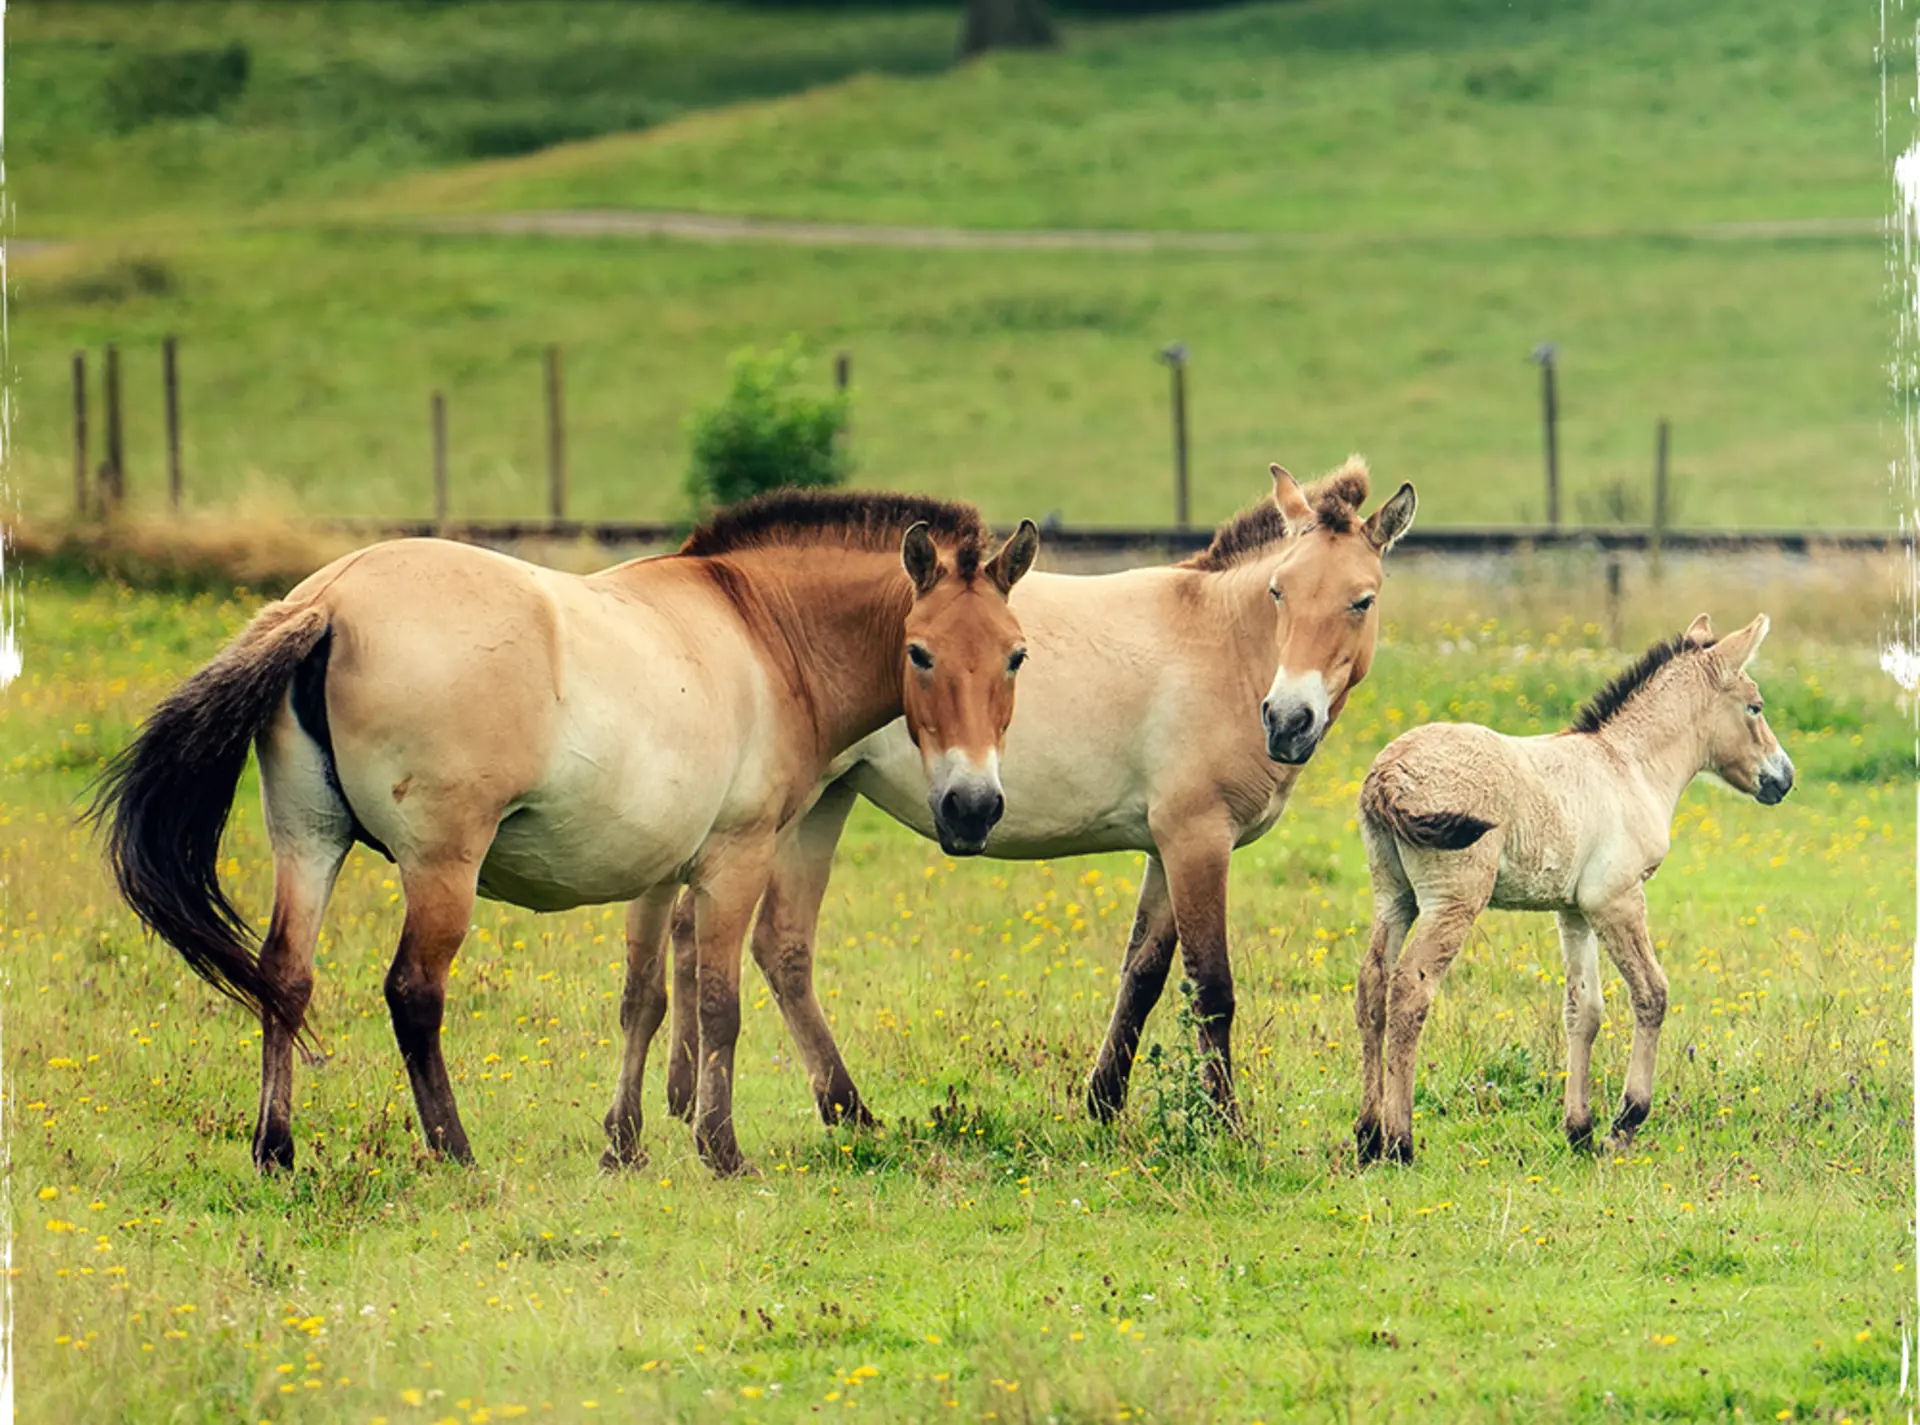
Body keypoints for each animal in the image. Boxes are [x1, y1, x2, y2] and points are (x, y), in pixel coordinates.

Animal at [90, 491, 1040, 1178]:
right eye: (919, 653)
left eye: (1015, 655)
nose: (972, 806)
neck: (758, 626)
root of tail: (330, 600)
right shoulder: (735, 859)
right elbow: (720, 1003)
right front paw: (720, 1150)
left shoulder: (659, 870)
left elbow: (646, 999)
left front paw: (626, 1143)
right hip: (441, 865)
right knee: (413, 992)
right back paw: (455, 1151)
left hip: (307, 838)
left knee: (285, 977)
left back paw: (275, 1150)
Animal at [656, 459, 1418, 1129]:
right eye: (1280, 592)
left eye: (1363, 600)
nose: (1288, 720)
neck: (1220, 643)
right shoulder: (1197, 839)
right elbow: (1211, 987)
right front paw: (1226, 1124)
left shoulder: (1165, 846)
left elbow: (1142, 973)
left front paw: (1104, 1101)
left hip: (820, 802)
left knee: (748, 939)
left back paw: (769, 1104)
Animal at [1353, 613, 1793, 1166]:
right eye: (1755, 706)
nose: (1784, 778)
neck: (1629, 767)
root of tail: (1387, 776)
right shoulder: (1616, 899)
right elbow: (1652, 994)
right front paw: (1624, 1123)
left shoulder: (1575, 911)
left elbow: (1584, 1011)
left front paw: (1579, 1130)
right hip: (1451, 901)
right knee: (1410, 991)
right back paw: (1400, 1143)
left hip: (1393, 897)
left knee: (1371, 985)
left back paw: (1367, 1137)